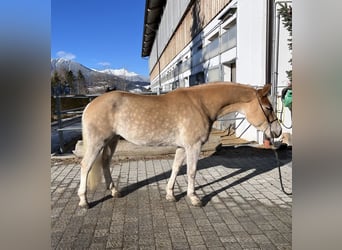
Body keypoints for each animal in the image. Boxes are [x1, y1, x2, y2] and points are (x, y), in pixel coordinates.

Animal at [79, 81, 282, 208]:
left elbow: (176, 169)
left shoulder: (182, 147)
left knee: (105, 163)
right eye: (268, 108)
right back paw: (84, 201)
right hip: (97, 143)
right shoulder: (193, 146)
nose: (278, 131)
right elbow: (192, 172)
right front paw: (194, 198)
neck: (201, 104)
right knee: (86, 166)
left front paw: (170, 194)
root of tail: (90, 104)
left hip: (111, 141)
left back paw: (115, 192)